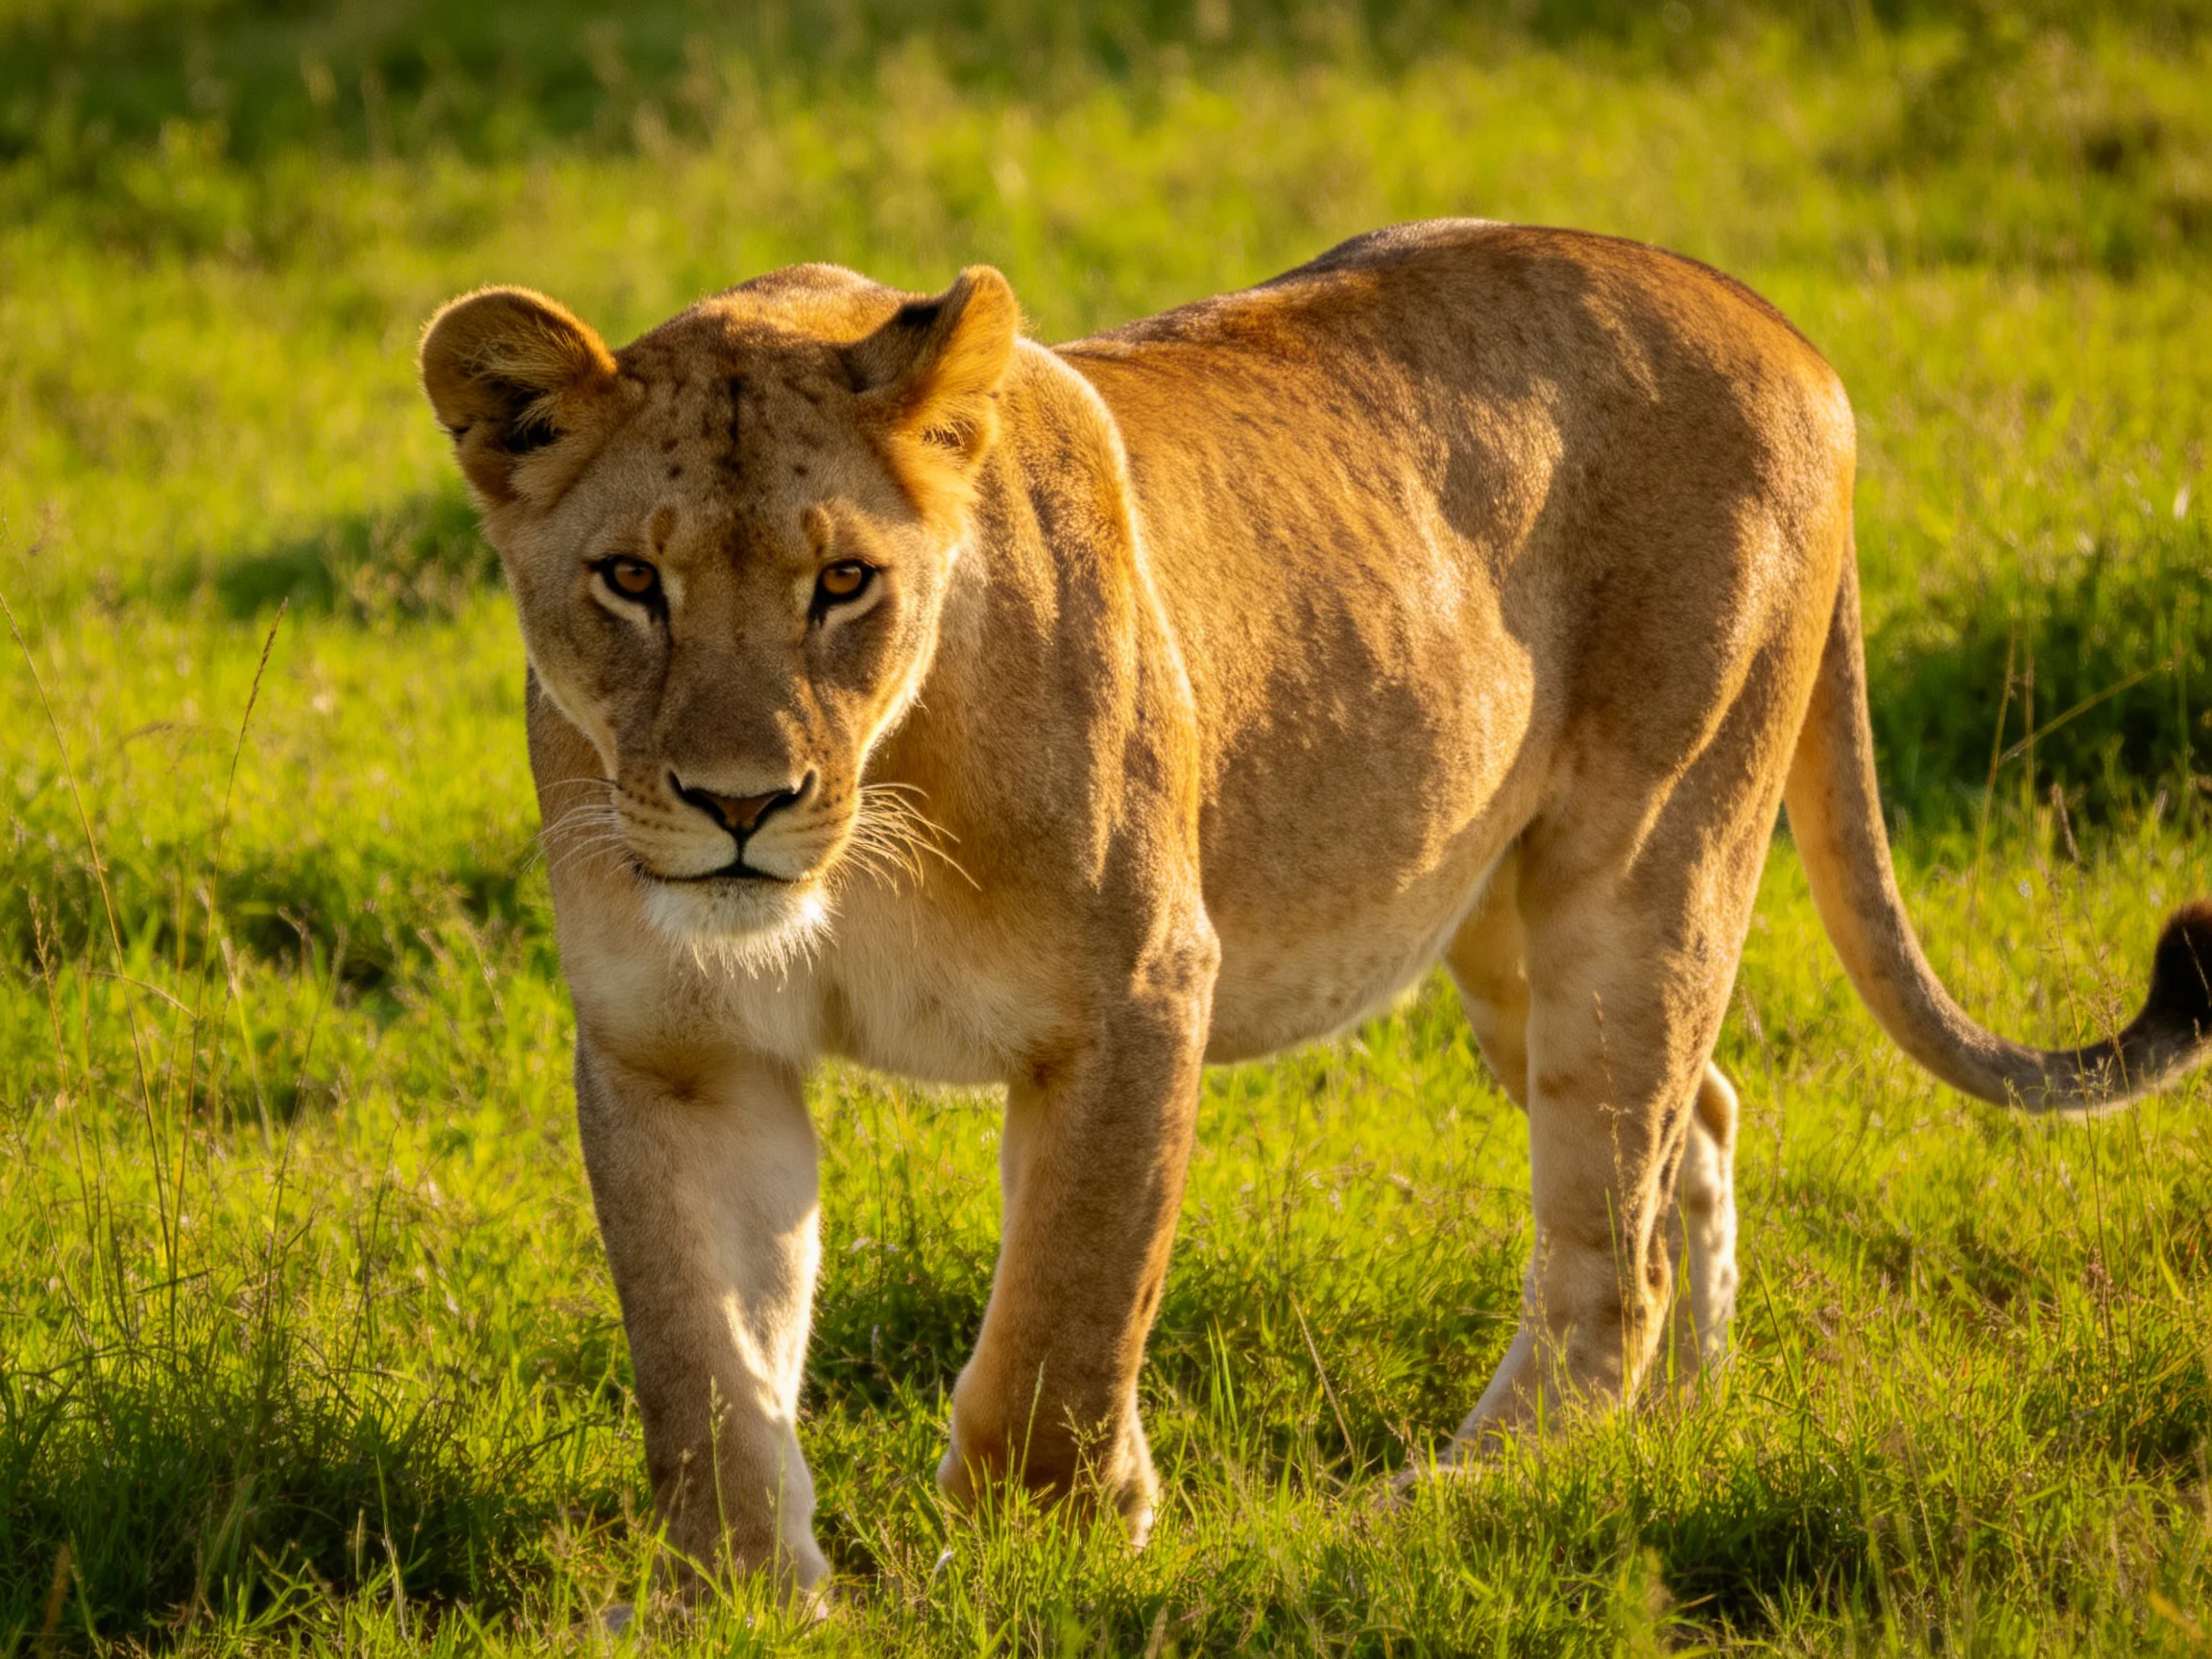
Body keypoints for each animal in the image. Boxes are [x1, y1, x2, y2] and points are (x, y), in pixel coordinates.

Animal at [418, 220, 2212, 1595]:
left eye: (843, 582)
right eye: (629, 580)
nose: (738, 806)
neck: (870, 817)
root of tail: (1769, 317)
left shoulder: (1139, 992)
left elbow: (1063, 1326)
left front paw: (1049, 1557)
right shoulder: (676, 1053)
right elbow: (703, 1367)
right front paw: (736, 1598)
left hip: (1644, 869)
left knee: (1601, 1255)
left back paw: (1458, 1498)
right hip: (1503, 933)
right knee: (1691, 1129)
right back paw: (1691, 1424)